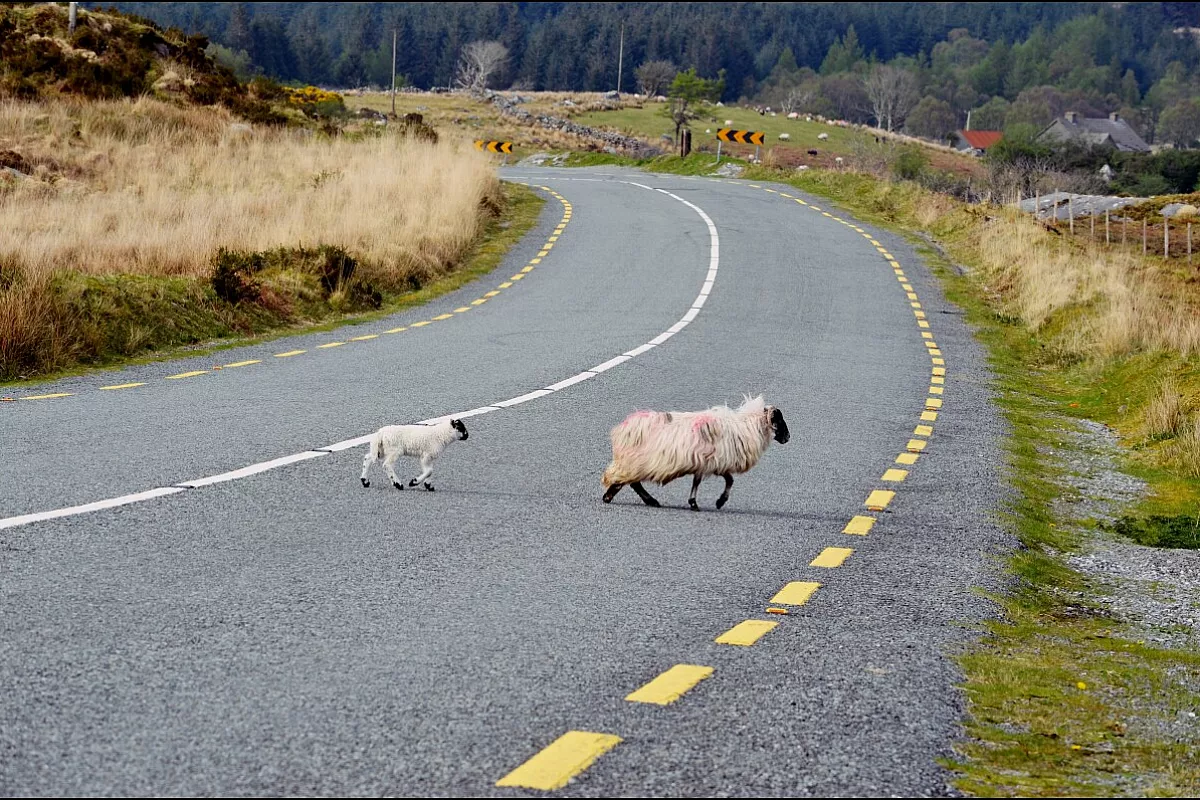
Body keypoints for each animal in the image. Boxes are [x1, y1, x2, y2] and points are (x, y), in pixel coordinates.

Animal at [601, 395, 790, 510]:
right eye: (779, 419)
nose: (788, 437)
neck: (748, 426)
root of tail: (623, 427)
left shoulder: (706, 462)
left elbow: (707, 481)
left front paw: (698, 502)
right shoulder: (713, 461)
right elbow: (726, 480)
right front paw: (713, 502)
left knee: (631, 482)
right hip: (635, 462)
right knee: (629, 481)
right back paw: (617, 497)